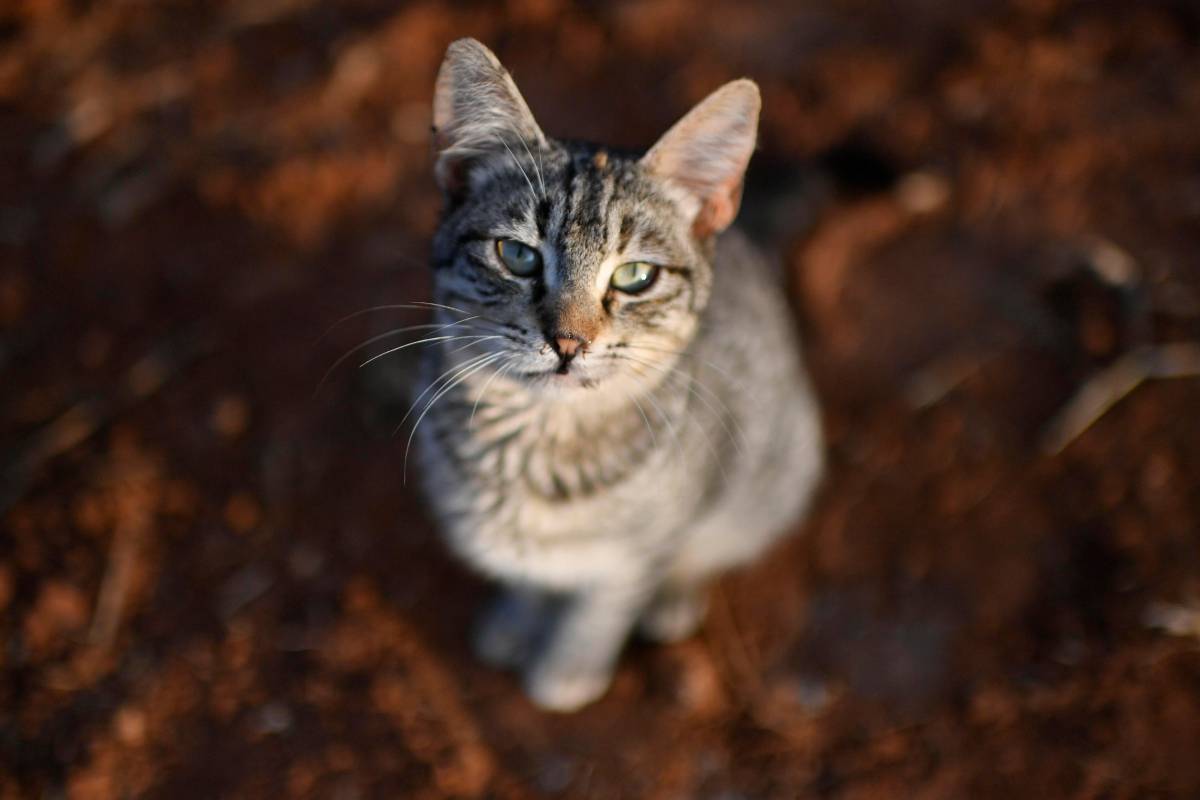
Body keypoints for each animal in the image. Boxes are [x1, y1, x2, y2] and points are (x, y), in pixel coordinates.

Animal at [415, 38, 825, 714]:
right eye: (517, 255)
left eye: (635, 276)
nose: (568, 342)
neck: (543, 444)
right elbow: (526, 575)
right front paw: (518, 616)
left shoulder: (649, 536)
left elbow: (607, 596)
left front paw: (570, 665)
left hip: (778, 463)